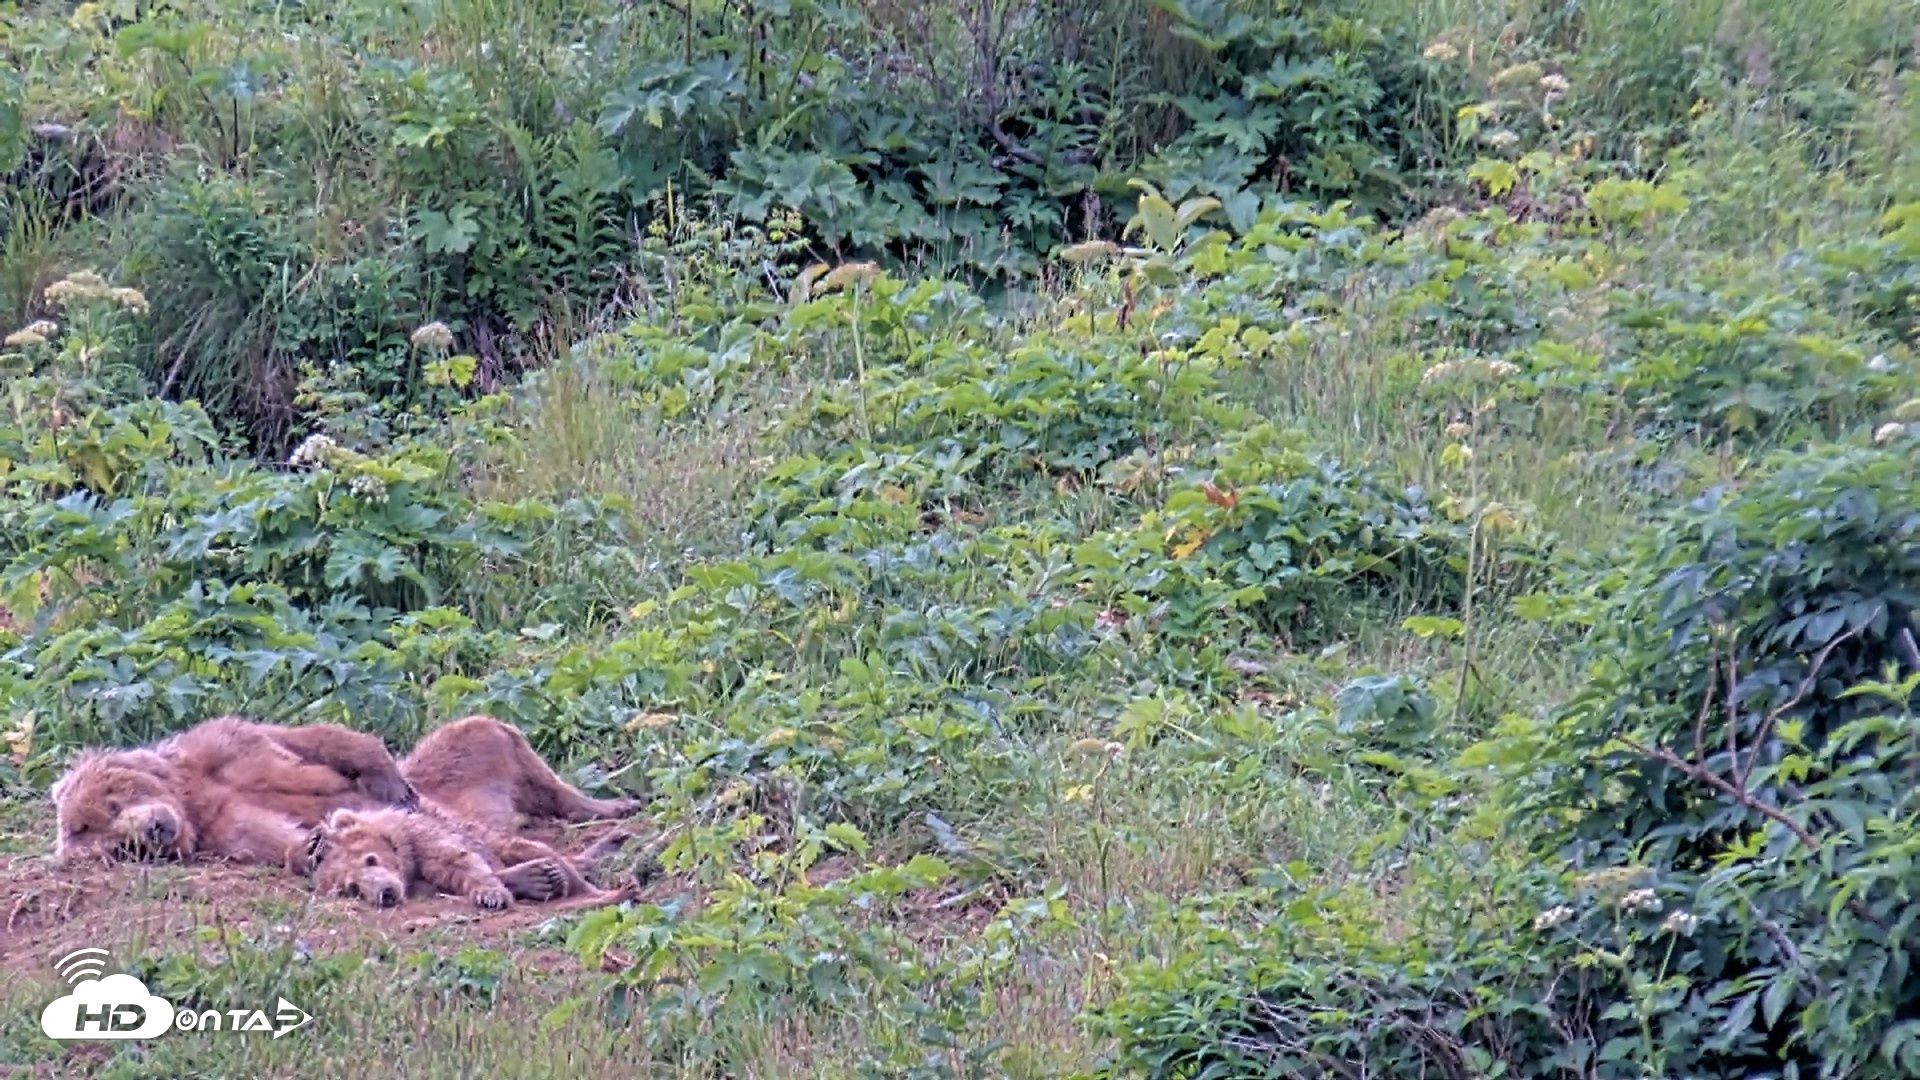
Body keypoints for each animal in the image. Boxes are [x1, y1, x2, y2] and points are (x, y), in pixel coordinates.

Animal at [51, 715, 419, 867]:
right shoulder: (221, 827)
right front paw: (311, 846)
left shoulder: (226, 749)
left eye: (112, 805)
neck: (190, 801)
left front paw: (394, 785)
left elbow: (306, 742)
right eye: (124, 848)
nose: (154, 828)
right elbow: (265, 833)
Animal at [296, 804, 632, 912]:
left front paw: (491, 895)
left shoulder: (427, 836)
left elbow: (457, 860)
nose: (386, 892)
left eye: (371, 859)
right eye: (353, 888)